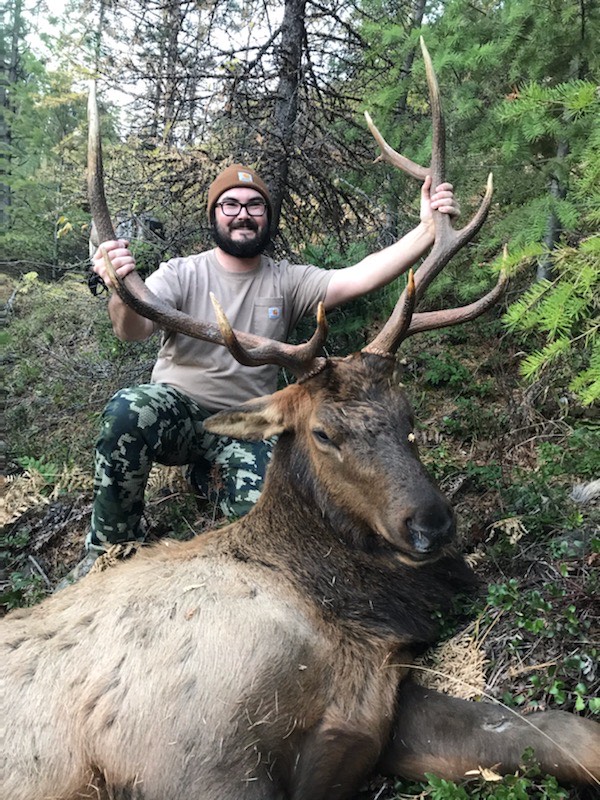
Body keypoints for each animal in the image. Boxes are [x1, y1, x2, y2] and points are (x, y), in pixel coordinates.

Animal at [1, 39, 598, 800]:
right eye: (321, 433)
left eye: (408, 413)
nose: (433, 525)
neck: (342, 616)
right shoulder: (187, 756)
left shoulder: (375, 710)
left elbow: (563, 733)